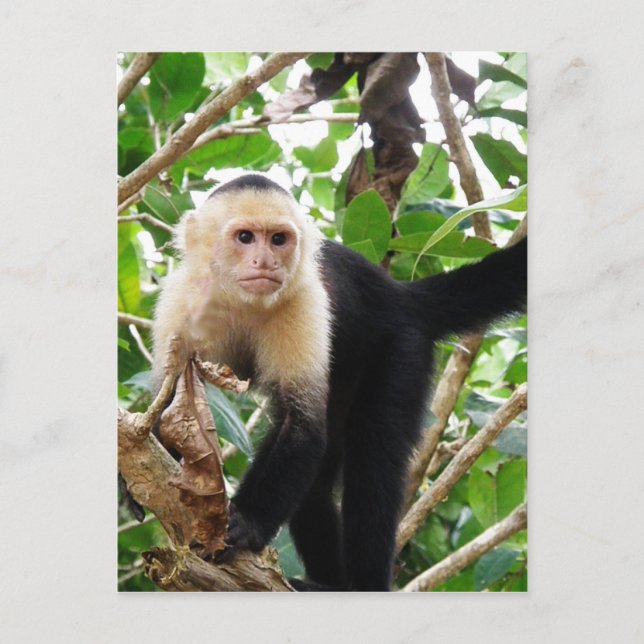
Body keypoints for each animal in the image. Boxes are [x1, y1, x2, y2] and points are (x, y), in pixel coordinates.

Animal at [151, 173, 527, 591]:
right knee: (317, 480)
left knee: (372, 461)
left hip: (401, 345)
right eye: (245, 237)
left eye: (278, 239)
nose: (265, 262)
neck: (241, 300)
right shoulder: (180, 301)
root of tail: (399, 294)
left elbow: (303, 428)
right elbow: (168, 402)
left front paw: (246, 523)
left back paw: (366, 584)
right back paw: (328, 584)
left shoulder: (305, 303)